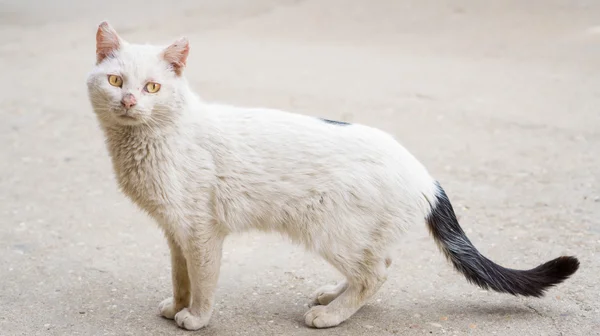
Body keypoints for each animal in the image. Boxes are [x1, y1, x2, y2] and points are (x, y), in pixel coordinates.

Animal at [86, 23, 580, 330]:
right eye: (116, 81)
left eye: (152, 87)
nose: (129, 101)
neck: (154, 140)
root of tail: (426, 175)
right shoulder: (177, 232)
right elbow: (180, 276)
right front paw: (176, 306)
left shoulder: (202, 232)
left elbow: (204, 281)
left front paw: (197, 318)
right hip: (349, 235)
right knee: (376, 266)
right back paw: (331, 297)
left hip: (330, 229)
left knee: (374, 274)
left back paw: (331, 316)